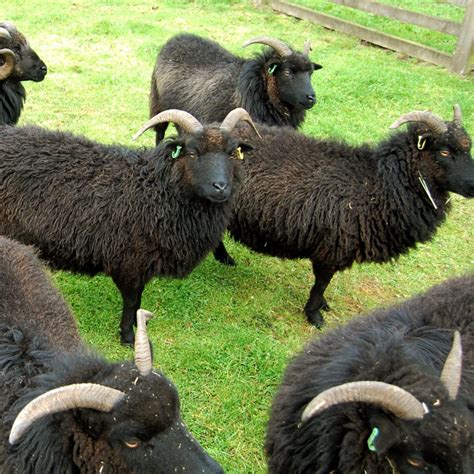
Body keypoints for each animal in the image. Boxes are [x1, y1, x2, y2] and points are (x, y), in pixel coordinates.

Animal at [216, 103, 474, 326]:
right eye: (444, 151)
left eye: (468, 147)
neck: (379, 184)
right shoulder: (332, 248)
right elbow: (321, 283)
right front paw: (314, 315)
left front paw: (322, 306)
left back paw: (224, 259)